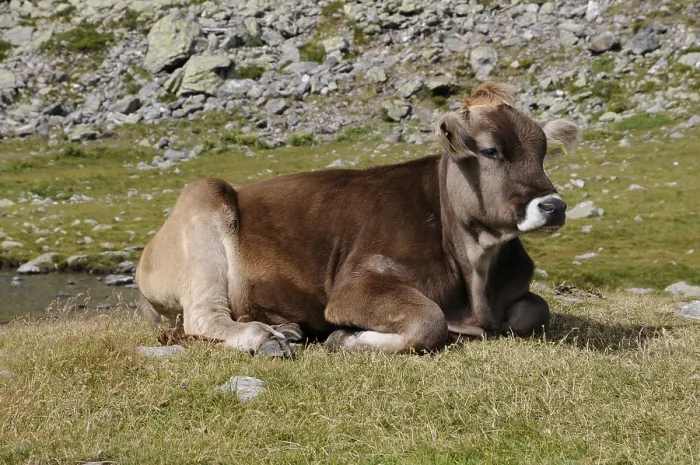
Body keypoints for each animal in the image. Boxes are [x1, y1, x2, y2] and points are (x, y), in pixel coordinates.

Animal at [135, 82, 578, 358]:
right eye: (489, 151)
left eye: (543, 151)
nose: (554, 205)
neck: (475, 279)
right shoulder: (355, 287)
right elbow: (428, 321)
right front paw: (344, 338)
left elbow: (536, 311)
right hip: (203, 201)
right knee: (204, 314)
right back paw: (265, 337)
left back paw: (288, 328)